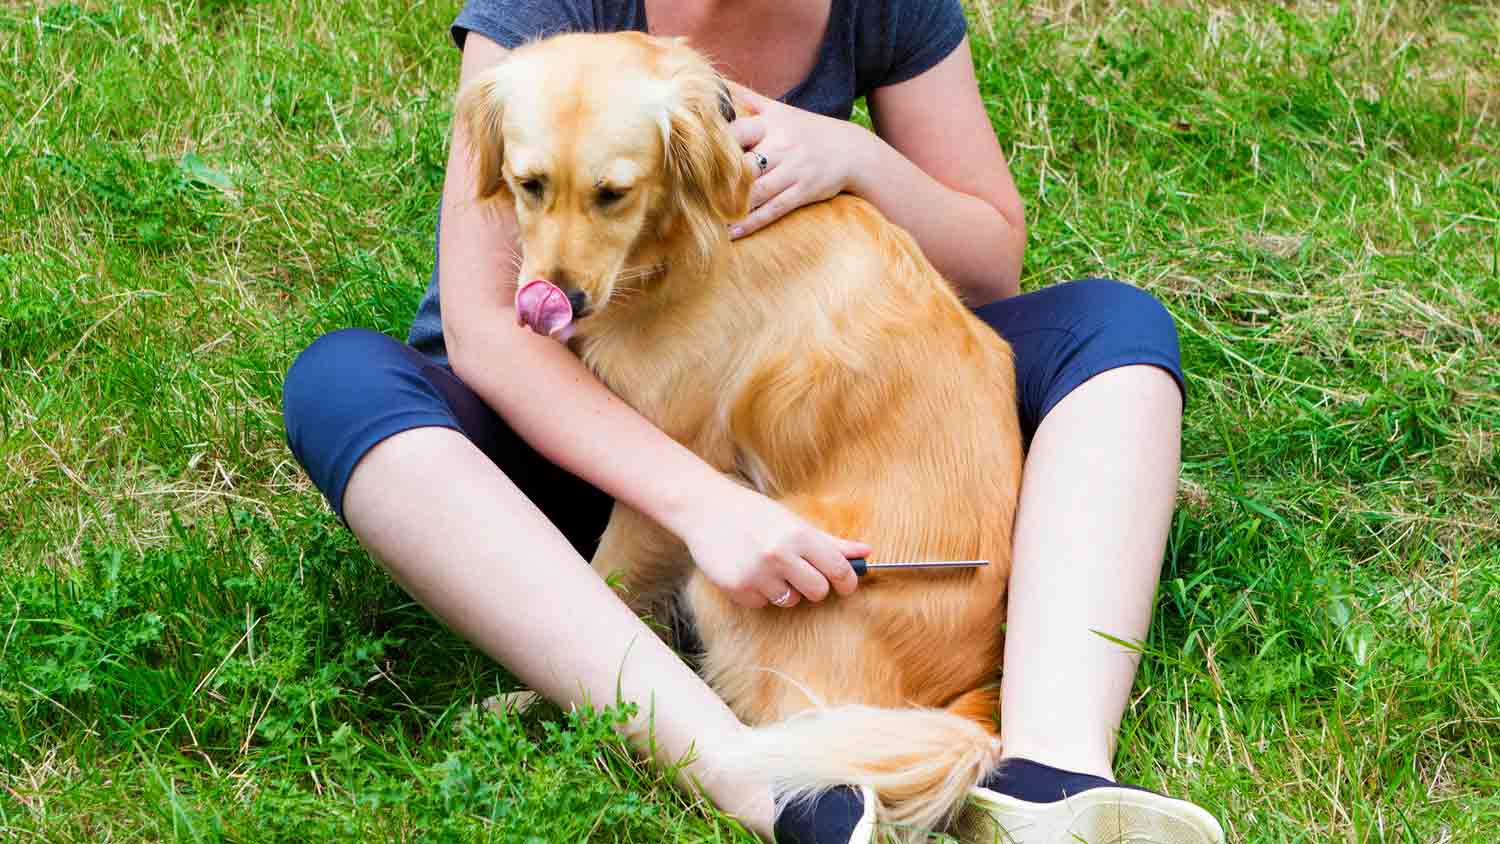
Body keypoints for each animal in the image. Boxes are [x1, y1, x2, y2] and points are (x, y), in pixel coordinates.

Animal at [453, 31, 1020, 839]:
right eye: (529, 184)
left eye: (614, 193)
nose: (557, 299)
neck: (691, 233)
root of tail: (971, 701)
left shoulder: (671, 465)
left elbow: (606, 585)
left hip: (734, 589)